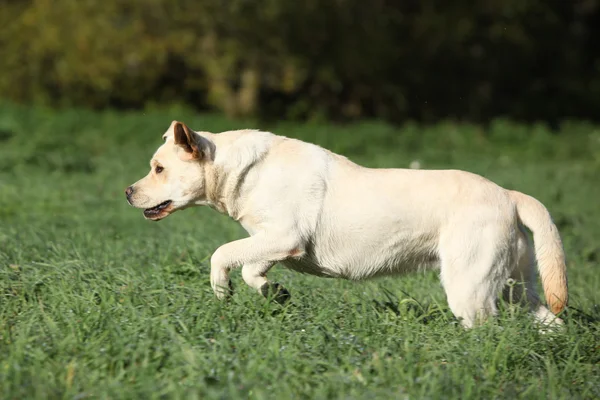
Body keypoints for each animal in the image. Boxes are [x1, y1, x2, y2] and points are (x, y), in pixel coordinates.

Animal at [126, 121, 568, 328]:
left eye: (158, 168)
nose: (128, 192)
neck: (243, 170)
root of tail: (509, 194)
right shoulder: (274, 242)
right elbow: (252, 268)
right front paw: (275, 293)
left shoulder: (284, 237)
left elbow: (221, 255)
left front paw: (223, 293)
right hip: (513, 286)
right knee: (551, 320)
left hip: (470, 289)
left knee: (486, 328)